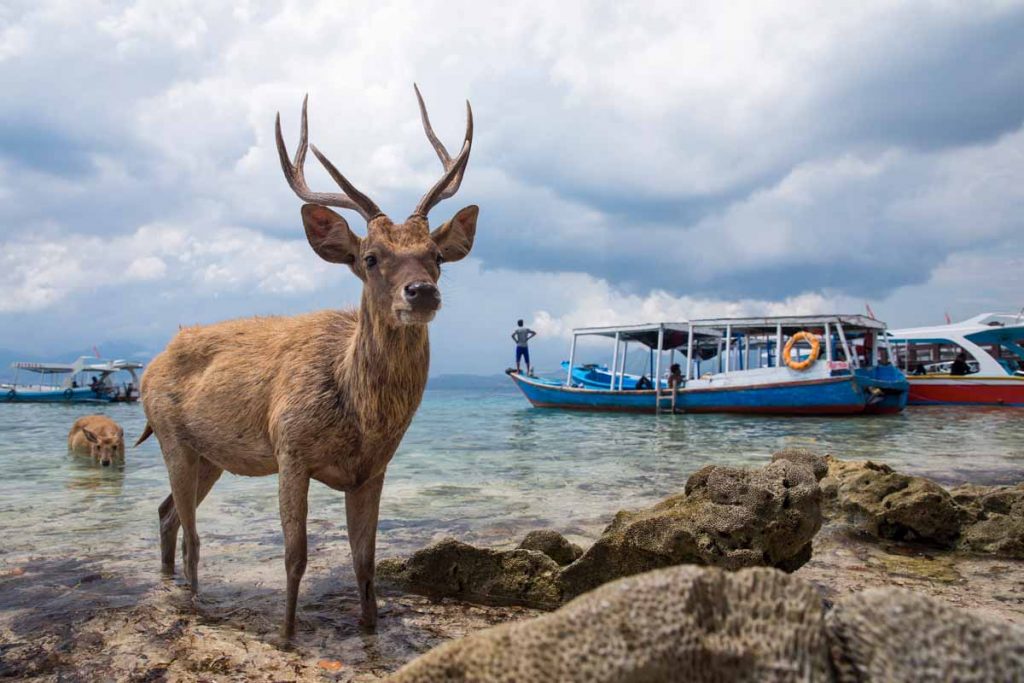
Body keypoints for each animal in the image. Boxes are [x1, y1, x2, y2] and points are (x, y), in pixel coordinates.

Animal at [136, 87, 479, 643]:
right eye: (370, 257)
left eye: (437, 256)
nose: (422, 291)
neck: (359, 416)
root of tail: (149, 365)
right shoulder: (290, 448)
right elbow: (295, 556)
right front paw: (286, 634)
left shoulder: (372, 470)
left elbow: (365, 562)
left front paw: (369, 629)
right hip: (171, 436)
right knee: (190, 532)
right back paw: (193, 600)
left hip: (209, 455)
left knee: (167, 514)